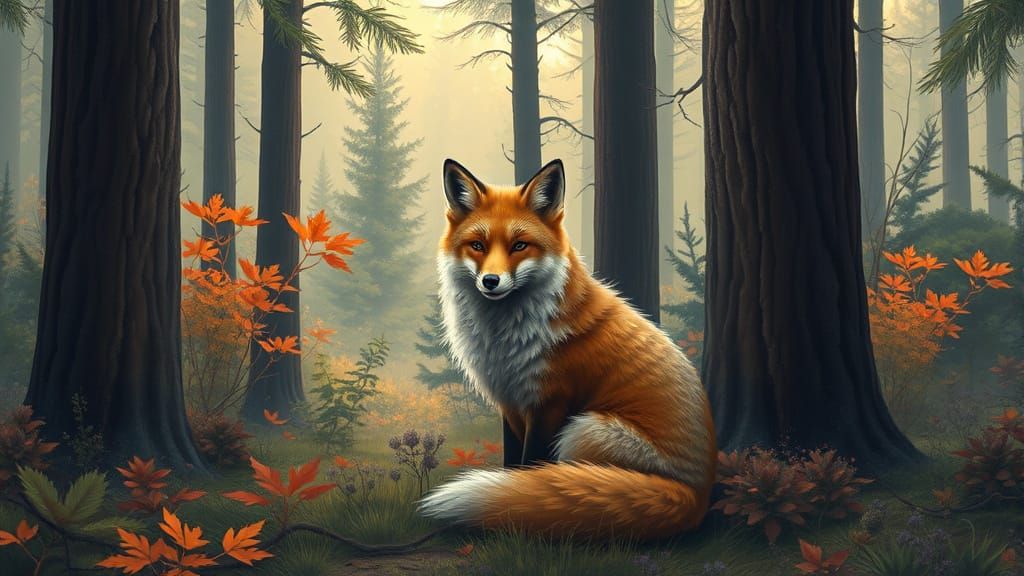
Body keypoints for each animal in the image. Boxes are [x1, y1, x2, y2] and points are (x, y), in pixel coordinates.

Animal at [418, 158, 717, 540]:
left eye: (519, 246)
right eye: (477, 245)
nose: (490, 281)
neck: (506, 338)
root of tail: (696, 495)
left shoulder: (549, 403)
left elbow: (530, 465)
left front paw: (514, 502)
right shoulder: (510, 401)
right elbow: (513, 463)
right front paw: (506, 492)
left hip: (582, 431)